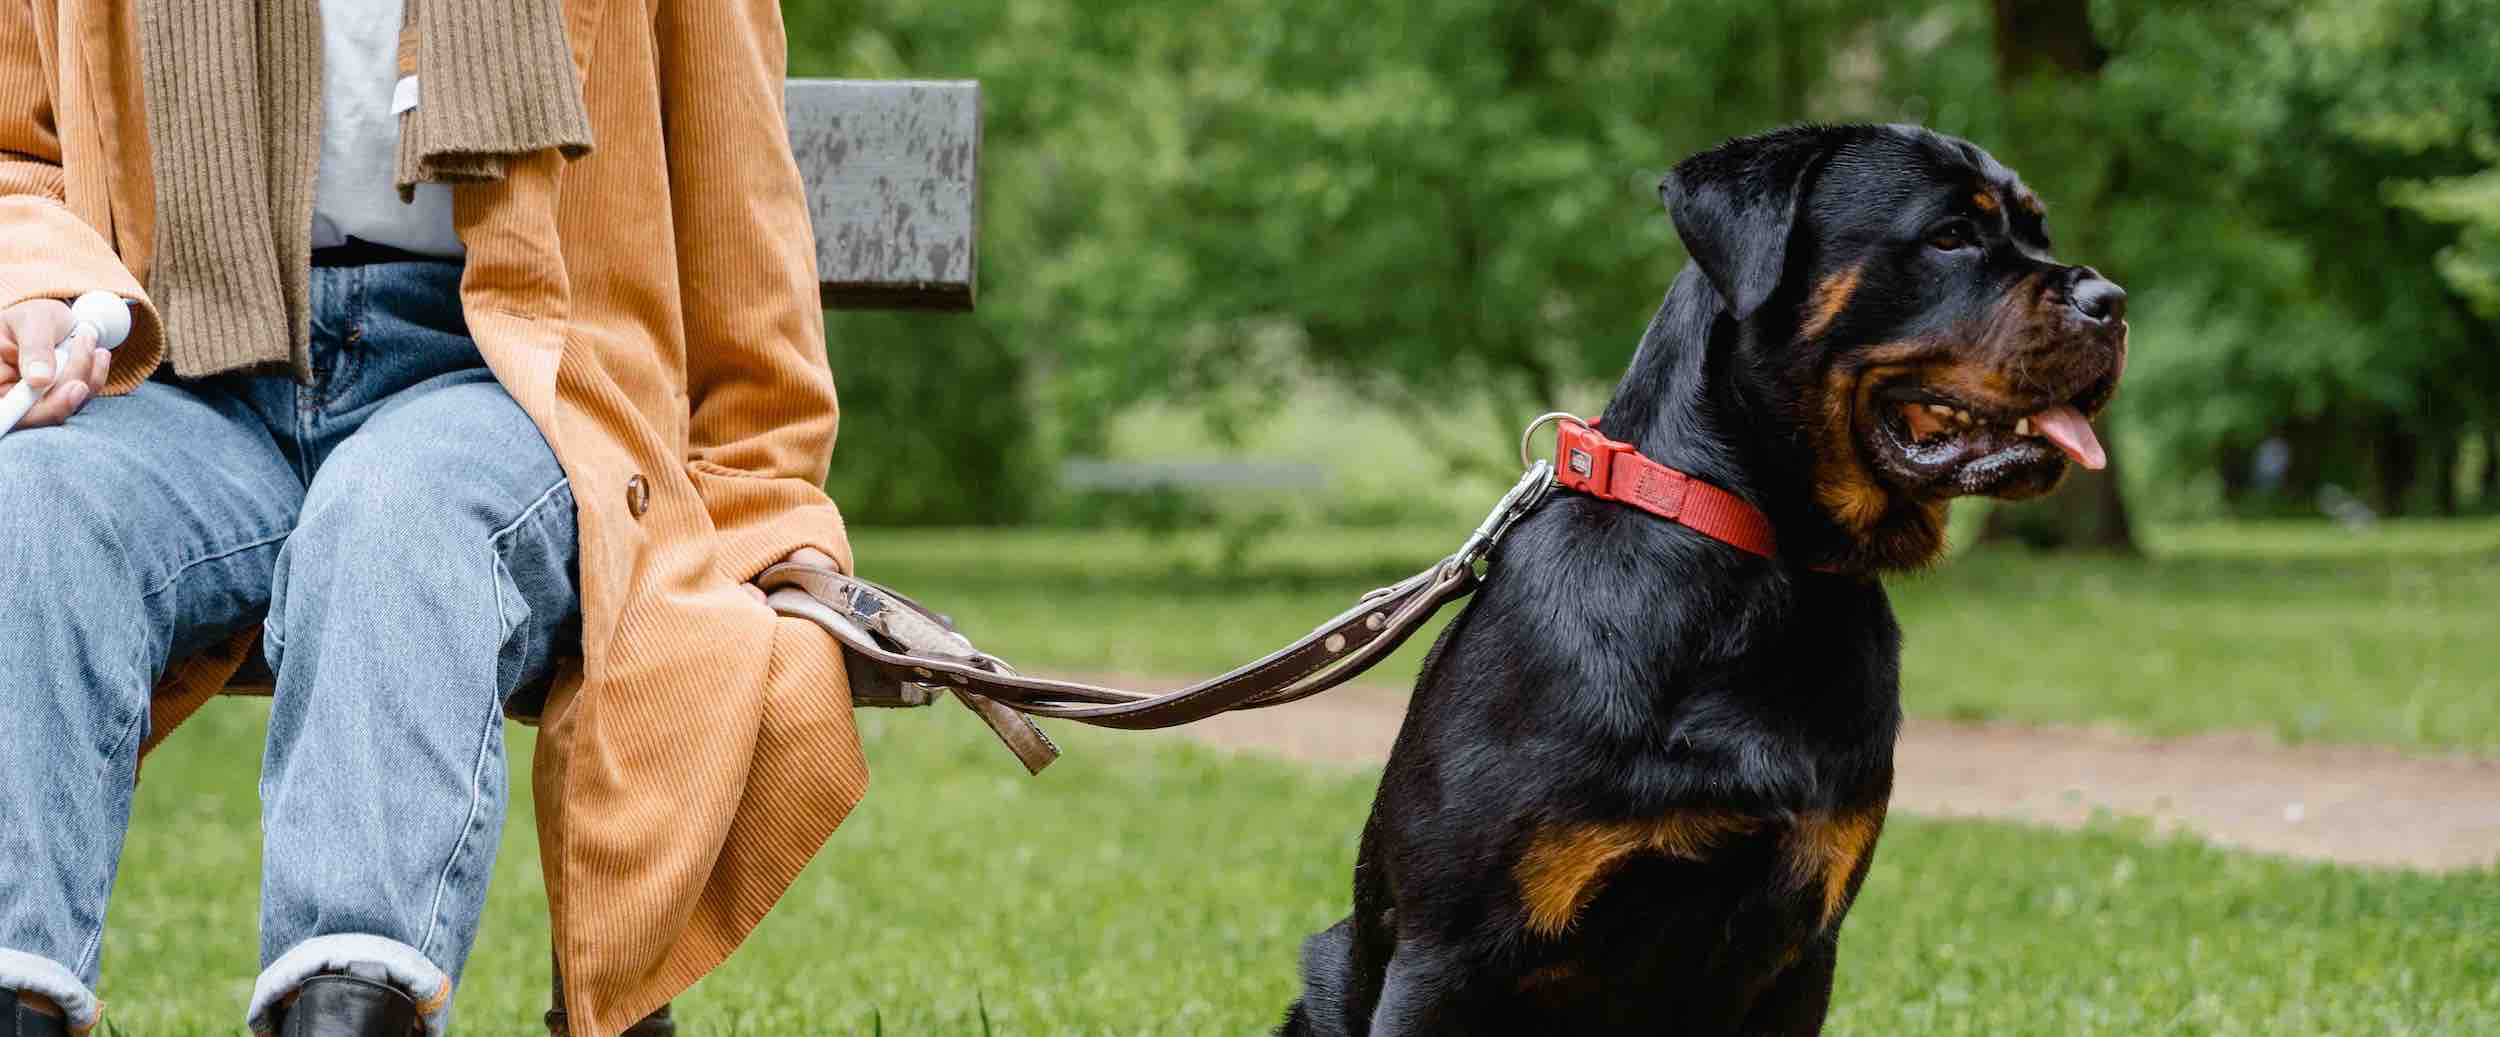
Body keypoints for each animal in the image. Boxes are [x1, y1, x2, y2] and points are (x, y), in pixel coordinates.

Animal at [1290, 126, 2130, 1034]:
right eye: (1950, 234)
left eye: (2038, 232)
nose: (2112, 300)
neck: (1764, 563)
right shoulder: (1446, 954)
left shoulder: (1802, 947)